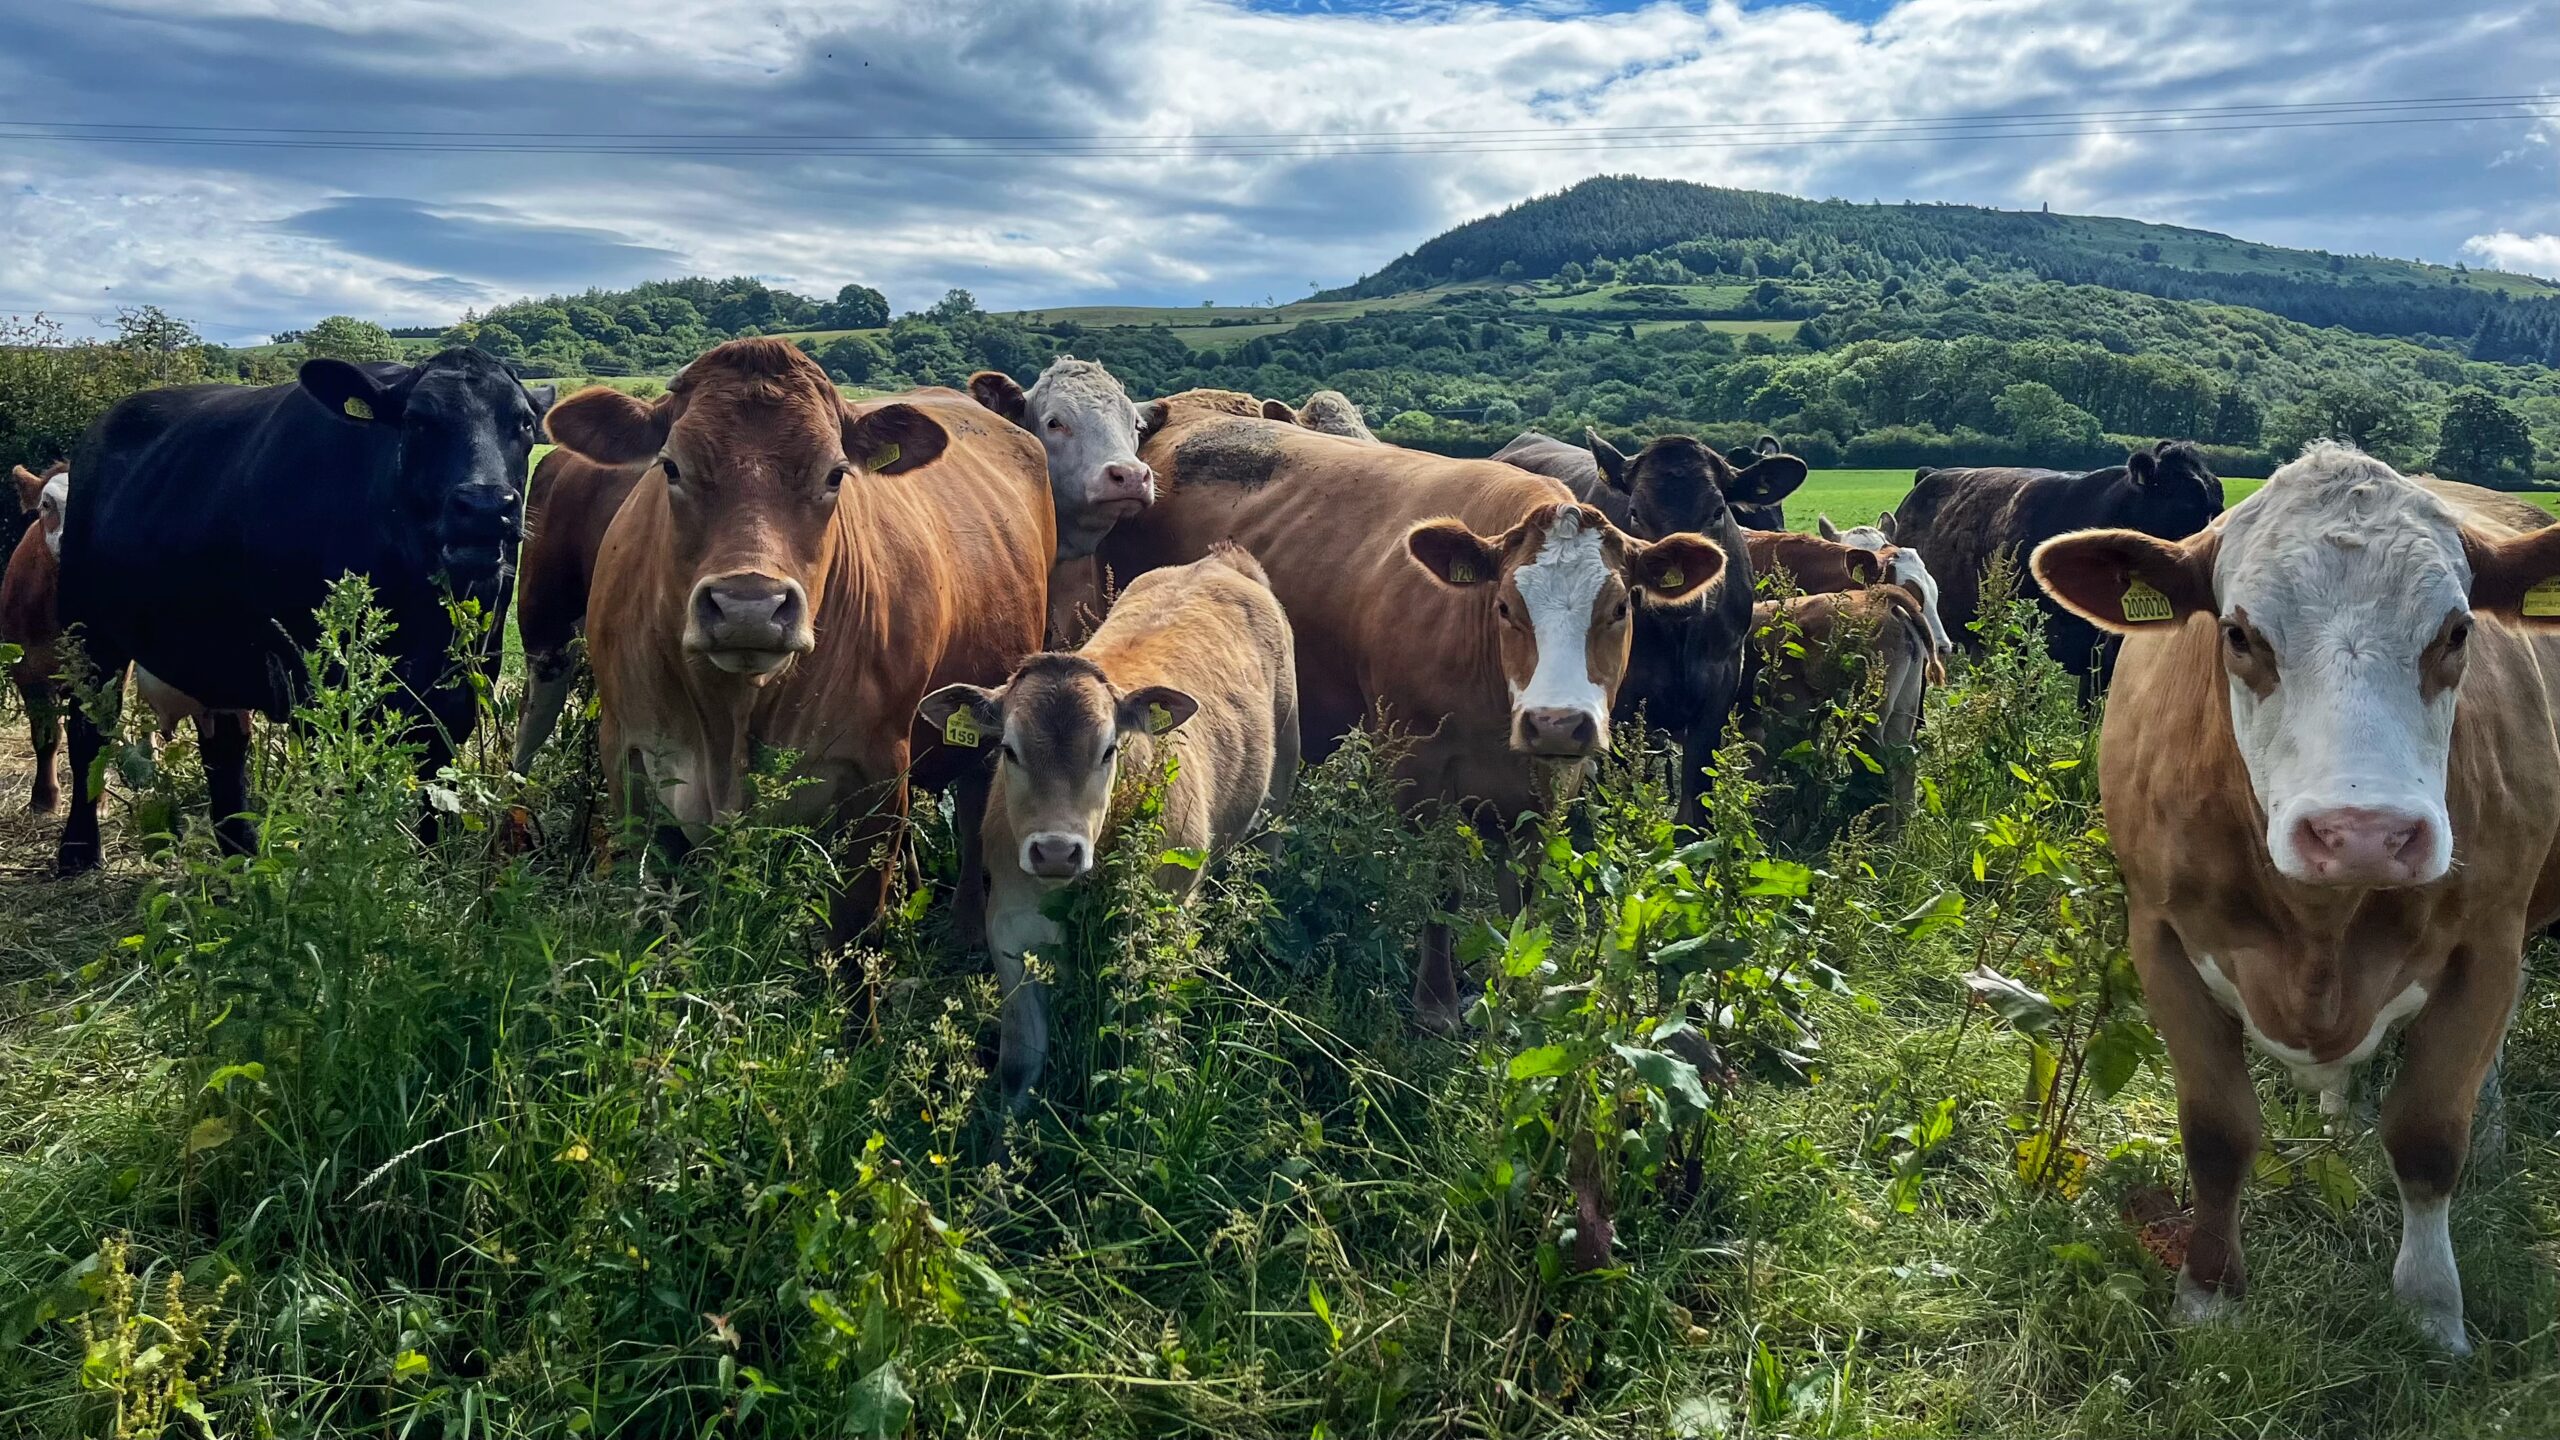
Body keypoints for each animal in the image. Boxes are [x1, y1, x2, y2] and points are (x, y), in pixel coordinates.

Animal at [54, 350, 552, 873]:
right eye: (417, 420)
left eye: (524, 422)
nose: (484, 506)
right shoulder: (316, 685)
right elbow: (348, 784)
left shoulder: (463, 684)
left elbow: (437, 785)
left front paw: (431, 865)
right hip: (85, 632)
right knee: (86, 730)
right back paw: (78, 851)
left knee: (224, 751)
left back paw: (241, 858)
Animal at [553, 338, 1052, 948]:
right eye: (670, 466)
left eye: (835, 475)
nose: (748, 606)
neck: (732, 719)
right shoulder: (627, 755)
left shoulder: (878, 771)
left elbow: (855, 928)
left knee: (979, 806)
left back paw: (966, 928)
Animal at [918, 543, 1298, 1109]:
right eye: (1008, 749)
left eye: (1108, 750)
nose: (1056, 850)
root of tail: (1221, 561)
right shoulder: (1009, 928)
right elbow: (1019, 1063)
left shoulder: (1163, 922)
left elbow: (1140, 1046)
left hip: (1285, 767)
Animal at [1101, 395, 1723, 1026]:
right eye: (1505, 606)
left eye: (1620, 607)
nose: (1555, 722)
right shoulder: (1416, 769)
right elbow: (1440, 885)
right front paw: (1436, 1001)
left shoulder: (1548, 783)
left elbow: (1522, 893)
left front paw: (1514, 989)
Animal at [2030, 443, 2560, 1356]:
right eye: (2239, 635)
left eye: (2457, 633)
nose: (2363, 833)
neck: (2319, 931)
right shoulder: (2161, 937)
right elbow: (2217, 1132)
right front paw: (2209, 1294)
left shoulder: (2488, 943)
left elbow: (2429, 1135)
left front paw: (2432, 1310)